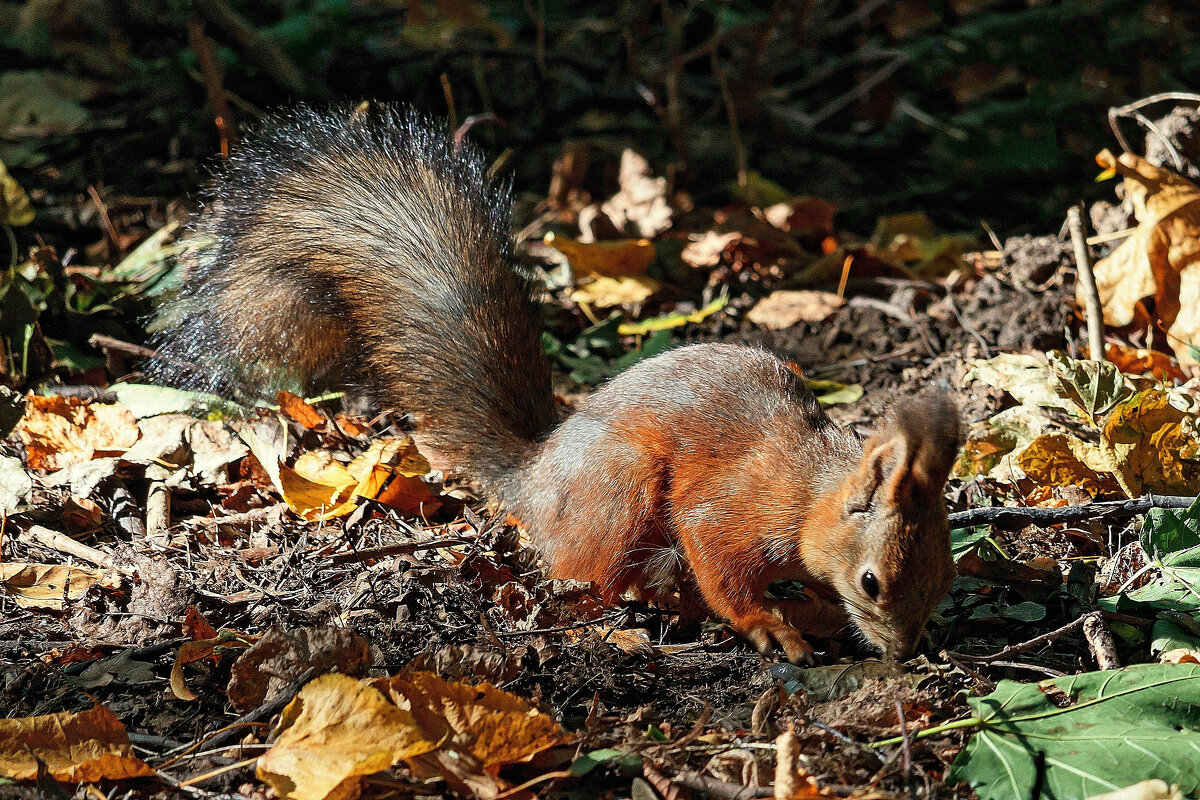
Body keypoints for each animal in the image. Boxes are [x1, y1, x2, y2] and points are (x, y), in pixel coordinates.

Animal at [157, 103, 964, 662]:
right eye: (872, 581)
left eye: (945, 576)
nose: (904, 652)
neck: (808, 491)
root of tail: (534, 481)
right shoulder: (731, 510)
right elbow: (721, 566)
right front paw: (770, 625)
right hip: (621, 488)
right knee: (596, 578)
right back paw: (604, 614)